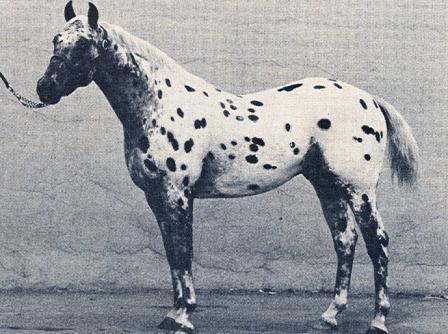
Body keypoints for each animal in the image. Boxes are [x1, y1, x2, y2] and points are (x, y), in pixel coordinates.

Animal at [36, 2, 420, 334]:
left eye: (84, 43)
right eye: (56, 39)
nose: (45, 88)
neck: (158, 106)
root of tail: (369, 99)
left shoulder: (178, 195)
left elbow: (184, 251)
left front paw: (184, 316)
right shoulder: (156, 198)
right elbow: (172, 253)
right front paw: (173, 313)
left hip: (359, 190)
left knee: (377, 242)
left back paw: (378, 321)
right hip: (327, 186)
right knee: (345, 240)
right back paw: (329, 316)